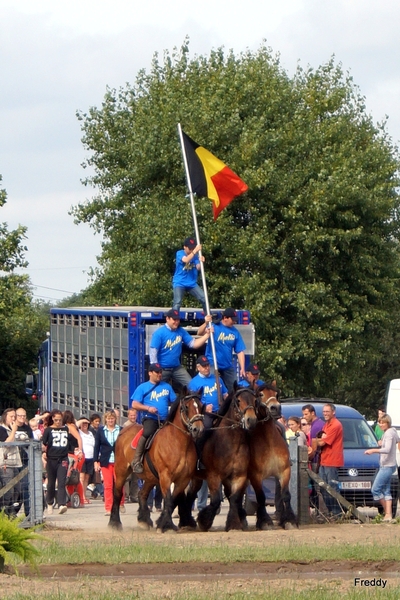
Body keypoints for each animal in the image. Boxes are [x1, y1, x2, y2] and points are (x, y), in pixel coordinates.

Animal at [108, 392, 203, 532]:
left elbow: (173, 500)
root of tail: (123, 431)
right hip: (121, 471)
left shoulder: (183, 480)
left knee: (142, 494)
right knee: (117, 494)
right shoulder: (165, 476)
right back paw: (114, 523)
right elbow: (168, 499)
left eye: (201, 406)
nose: (198, 429)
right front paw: (167, 525)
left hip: (150, 477)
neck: (179, 443)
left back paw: (144, 520)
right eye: (186, 407)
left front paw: (162, 522)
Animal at [185, 384, 260, 528]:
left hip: (197, 478)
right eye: (238, 401)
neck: (231, 442)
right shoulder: (214, 476)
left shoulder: (239, 475)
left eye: (255, 400)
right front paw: (204, 521)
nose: (251, 420)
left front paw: (234, 523)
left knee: (191, 494)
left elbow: (234, 497)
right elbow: (215, 500)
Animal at [250, 380, 296, 528]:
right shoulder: (256, 476)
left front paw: (289, 520)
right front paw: (264, 521)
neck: (269, 442)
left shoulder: (284, 471)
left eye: (276, 394)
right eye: (260, 394)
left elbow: (285, 494)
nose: (275, 408)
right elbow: (260, 497)